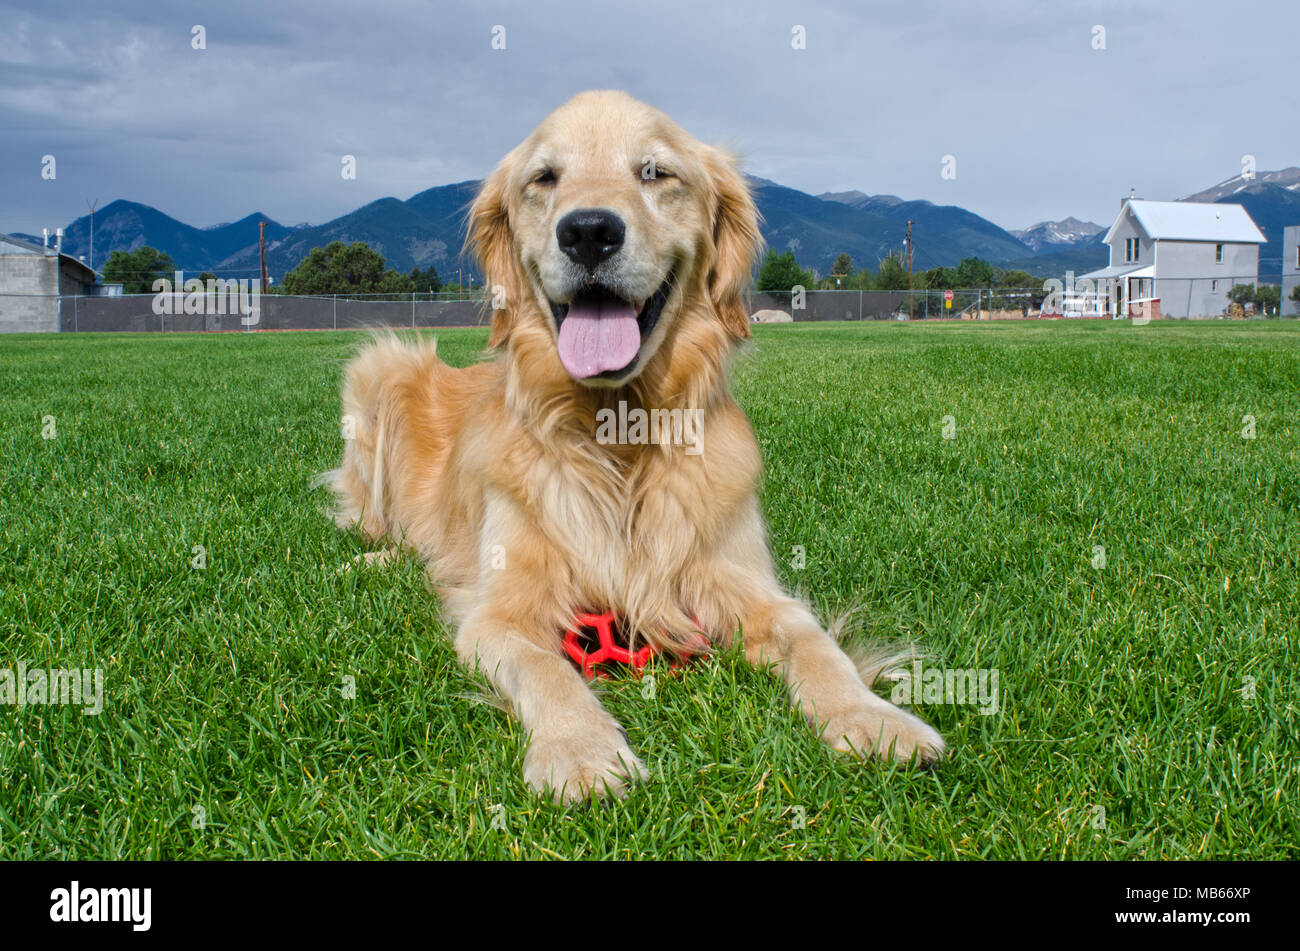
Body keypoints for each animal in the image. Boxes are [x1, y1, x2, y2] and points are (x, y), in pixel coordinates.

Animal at [330, 88, 941, 800]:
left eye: (655, 172)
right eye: (545, 178)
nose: (589, 232)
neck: (617, 435)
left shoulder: (750, 585)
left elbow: (818, 644)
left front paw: (874, 718)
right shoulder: (498, 614)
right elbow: (546, 667)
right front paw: (580, 748)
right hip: (380, 367)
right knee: (377, 523)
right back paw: (375, 558)